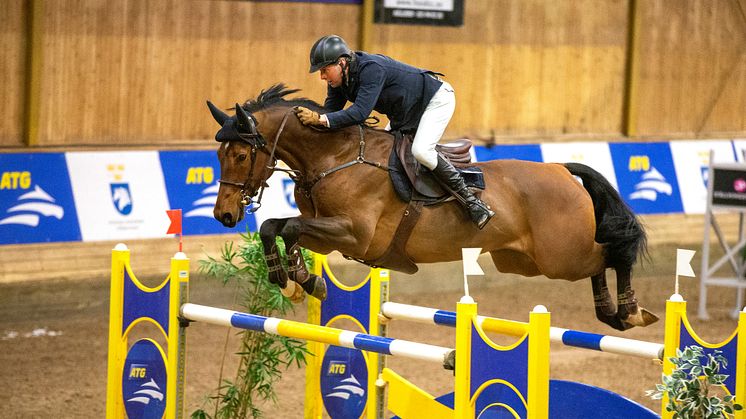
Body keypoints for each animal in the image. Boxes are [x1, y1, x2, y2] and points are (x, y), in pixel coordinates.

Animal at [206, 84, 652, 332]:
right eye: (220, 155)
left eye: (241, 156)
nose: (224, 216)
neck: (337, 156)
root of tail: (560, 168)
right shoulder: (327, 231)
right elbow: (278, 227)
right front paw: (299, 281)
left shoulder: (355, 235)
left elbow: (289, 227)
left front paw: (297, 279)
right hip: (524, 261)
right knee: (600, 261)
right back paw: (612, 313)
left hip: (561, 256)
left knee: (612, 253)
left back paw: (629, 312)